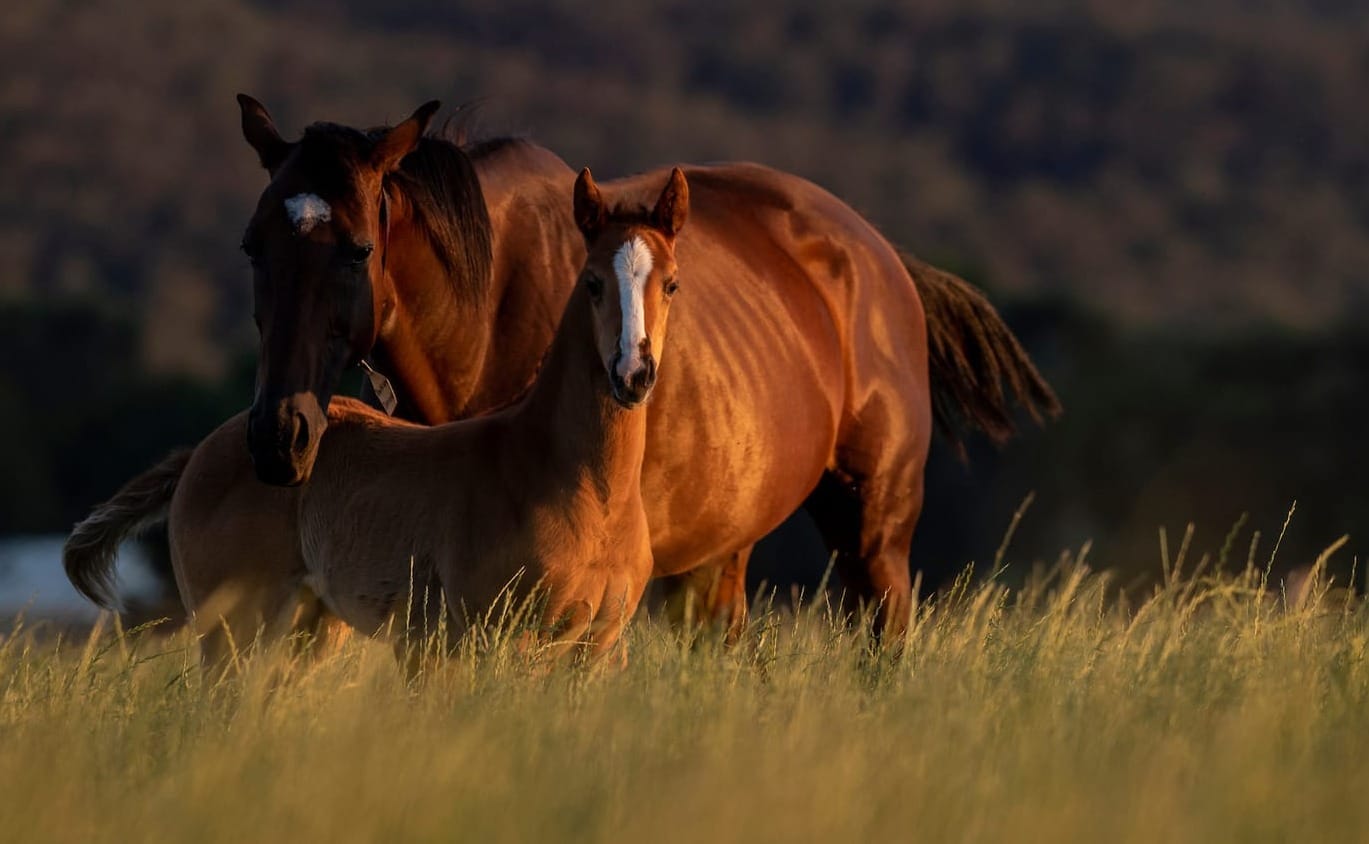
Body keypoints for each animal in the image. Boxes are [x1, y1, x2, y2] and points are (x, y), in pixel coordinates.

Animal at [65, 97, 1059, 662]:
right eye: (251, 246)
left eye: (354, 247)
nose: (279, 439)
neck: (494, 308)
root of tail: (883, 256)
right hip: (723, 556)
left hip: (872, 535)